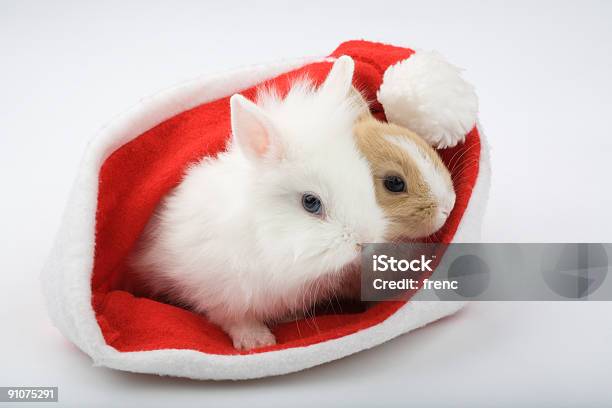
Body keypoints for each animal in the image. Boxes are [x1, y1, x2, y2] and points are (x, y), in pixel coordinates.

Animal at [132, 56, 390, 350]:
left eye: (364, 176)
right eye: (310, 202)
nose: (365, 241)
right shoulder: (218, 290)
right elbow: (232, 317)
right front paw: (257, 341)